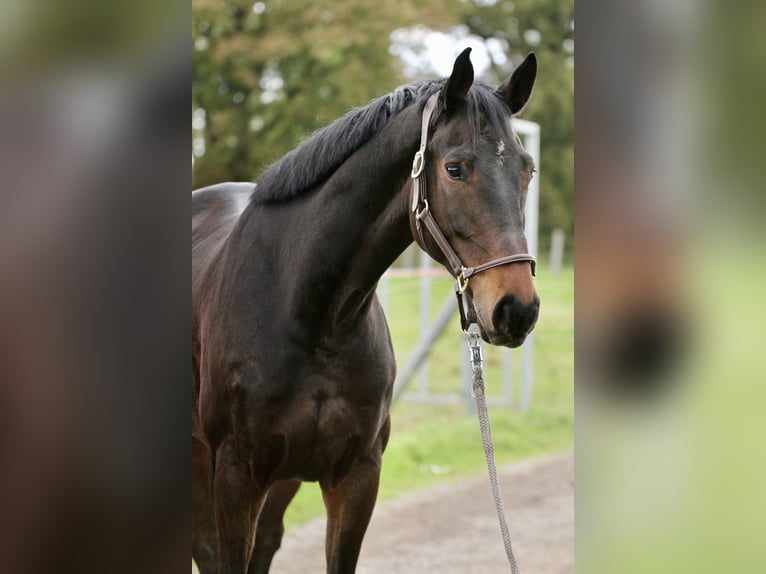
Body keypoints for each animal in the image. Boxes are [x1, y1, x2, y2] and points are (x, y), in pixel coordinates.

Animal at [192, 50, 540, 574]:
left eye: (527, 170)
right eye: (455, 169)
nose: (517, 308)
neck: (312, 317)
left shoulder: (356, 479)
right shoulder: (235, 477)